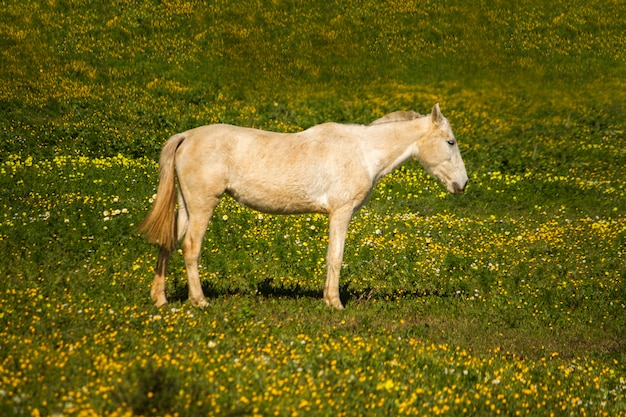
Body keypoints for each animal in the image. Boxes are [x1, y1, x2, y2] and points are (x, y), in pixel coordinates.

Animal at [138, 104, 468, 308]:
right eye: (450, 142)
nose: (463, 184)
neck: (363, 151)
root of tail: (186, 136)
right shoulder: (341, 212)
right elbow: (335, 257)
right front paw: (335, 303)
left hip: (186, 205)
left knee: (168, 243)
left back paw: (160, 299)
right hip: (203, 205)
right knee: (190, 247)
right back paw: (200, 301)